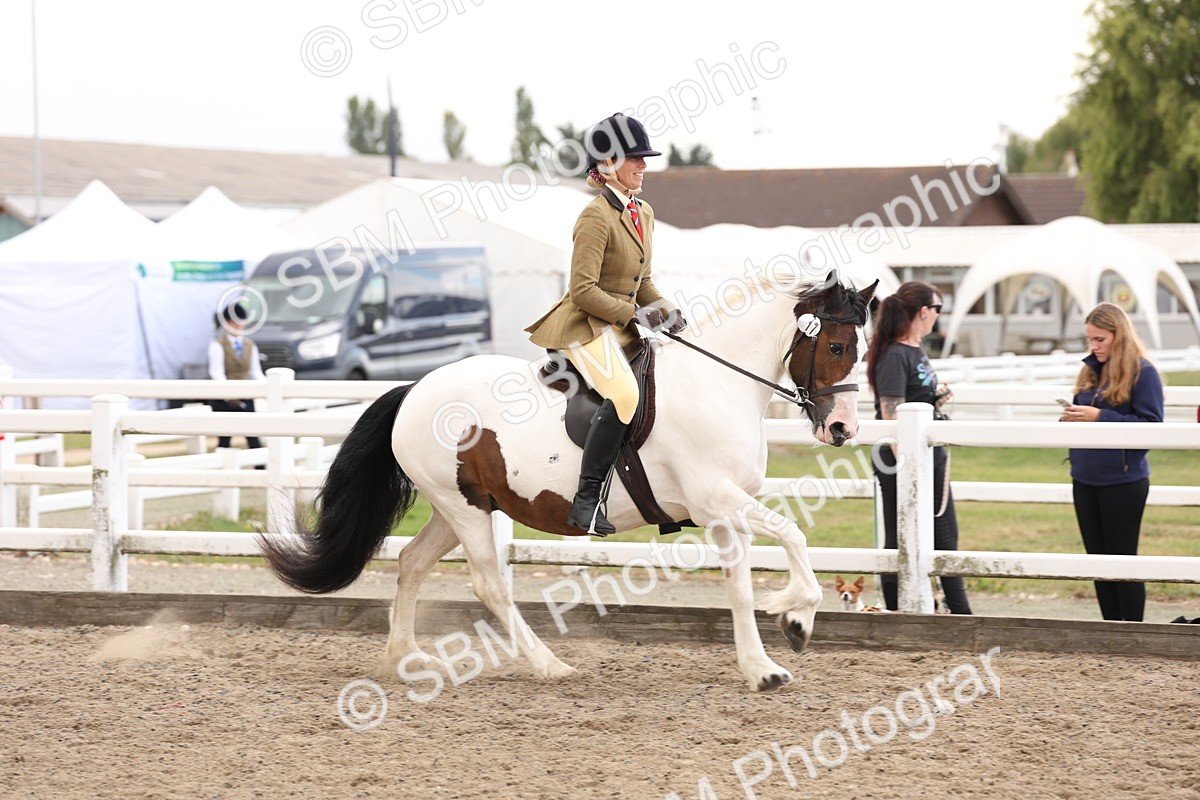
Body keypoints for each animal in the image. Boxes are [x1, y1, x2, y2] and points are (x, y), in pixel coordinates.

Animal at [260, 270, 877, 692]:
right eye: (837, 346)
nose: (843, 429)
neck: (719, 384)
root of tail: (414, 388)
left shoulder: (726, 510)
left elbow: (740, 586)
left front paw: (761, 667)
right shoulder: (715, 498)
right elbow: (794, 535)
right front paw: (796, 617)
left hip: (460, 506)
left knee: (411, 562)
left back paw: (404, 658)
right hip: (464, 511)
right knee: (489, 585)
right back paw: (548, 664)